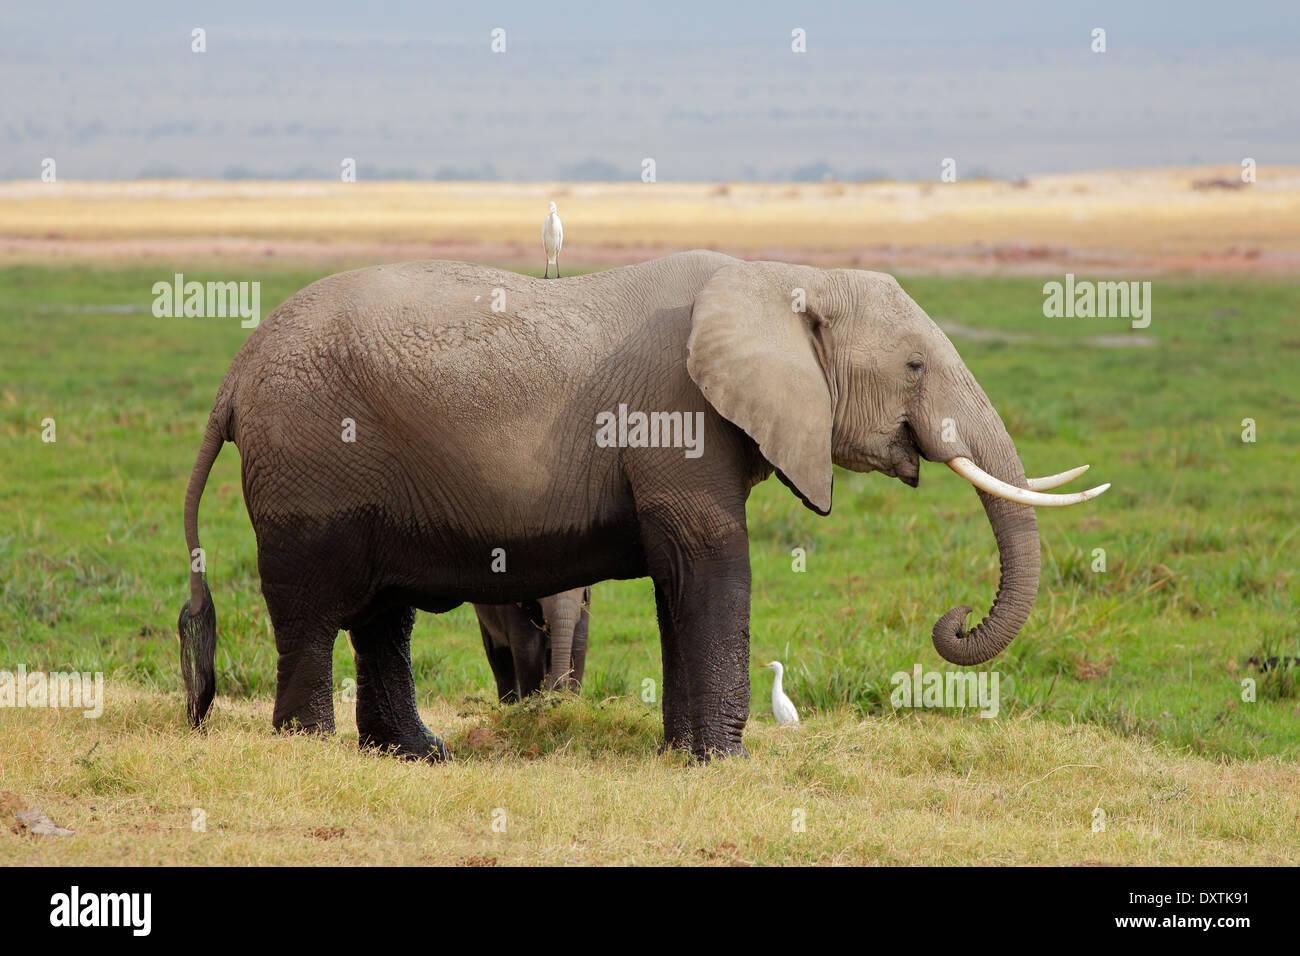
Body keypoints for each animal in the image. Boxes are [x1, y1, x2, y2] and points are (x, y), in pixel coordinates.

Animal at [178, 252, 1102, 764]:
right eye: (914, 367)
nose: (953, 620)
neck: (782, 279)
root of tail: (232, 376)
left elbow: (677, 581)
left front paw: (682, 756)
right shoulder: (678, 415)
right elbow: (713, 565)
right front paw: (726, 764)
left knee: (381, 616)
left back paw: (418, 756)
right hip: (310, 462)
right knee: (314, 609)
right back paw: (308, 748)